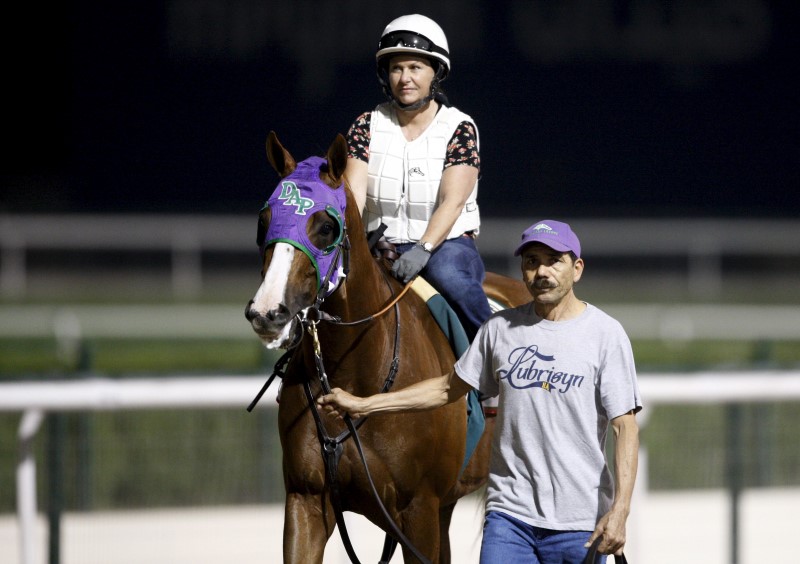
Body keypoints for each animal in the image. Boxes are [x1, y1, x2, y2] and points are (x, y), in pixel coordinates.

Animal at [244, 130, 532, 560]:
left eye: (326, 227)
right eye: (265, 221)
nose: (267, 312)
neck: (355, 372)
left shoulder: (418, 510)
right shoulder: (306, 501)